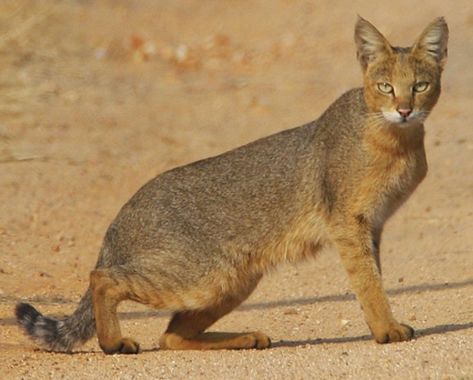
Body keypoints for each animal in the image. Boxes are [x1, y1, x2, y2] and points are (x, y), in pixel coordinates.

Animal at [16, 15, 448, 354]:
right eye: (385, 86)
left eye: (420, 86)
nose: (404, 109)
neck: (396, 142)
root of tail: (122, 214)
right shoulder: (348, 222)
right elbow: (368, 282)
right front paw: (386, 330)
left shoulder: (372, 225)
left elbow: (374, 277)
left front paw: (384, 324)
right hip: (201, 277)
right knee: (103, 279)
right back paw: (113, 342)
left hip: (231, 283)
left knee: (170, 335)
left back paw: (245, 338)